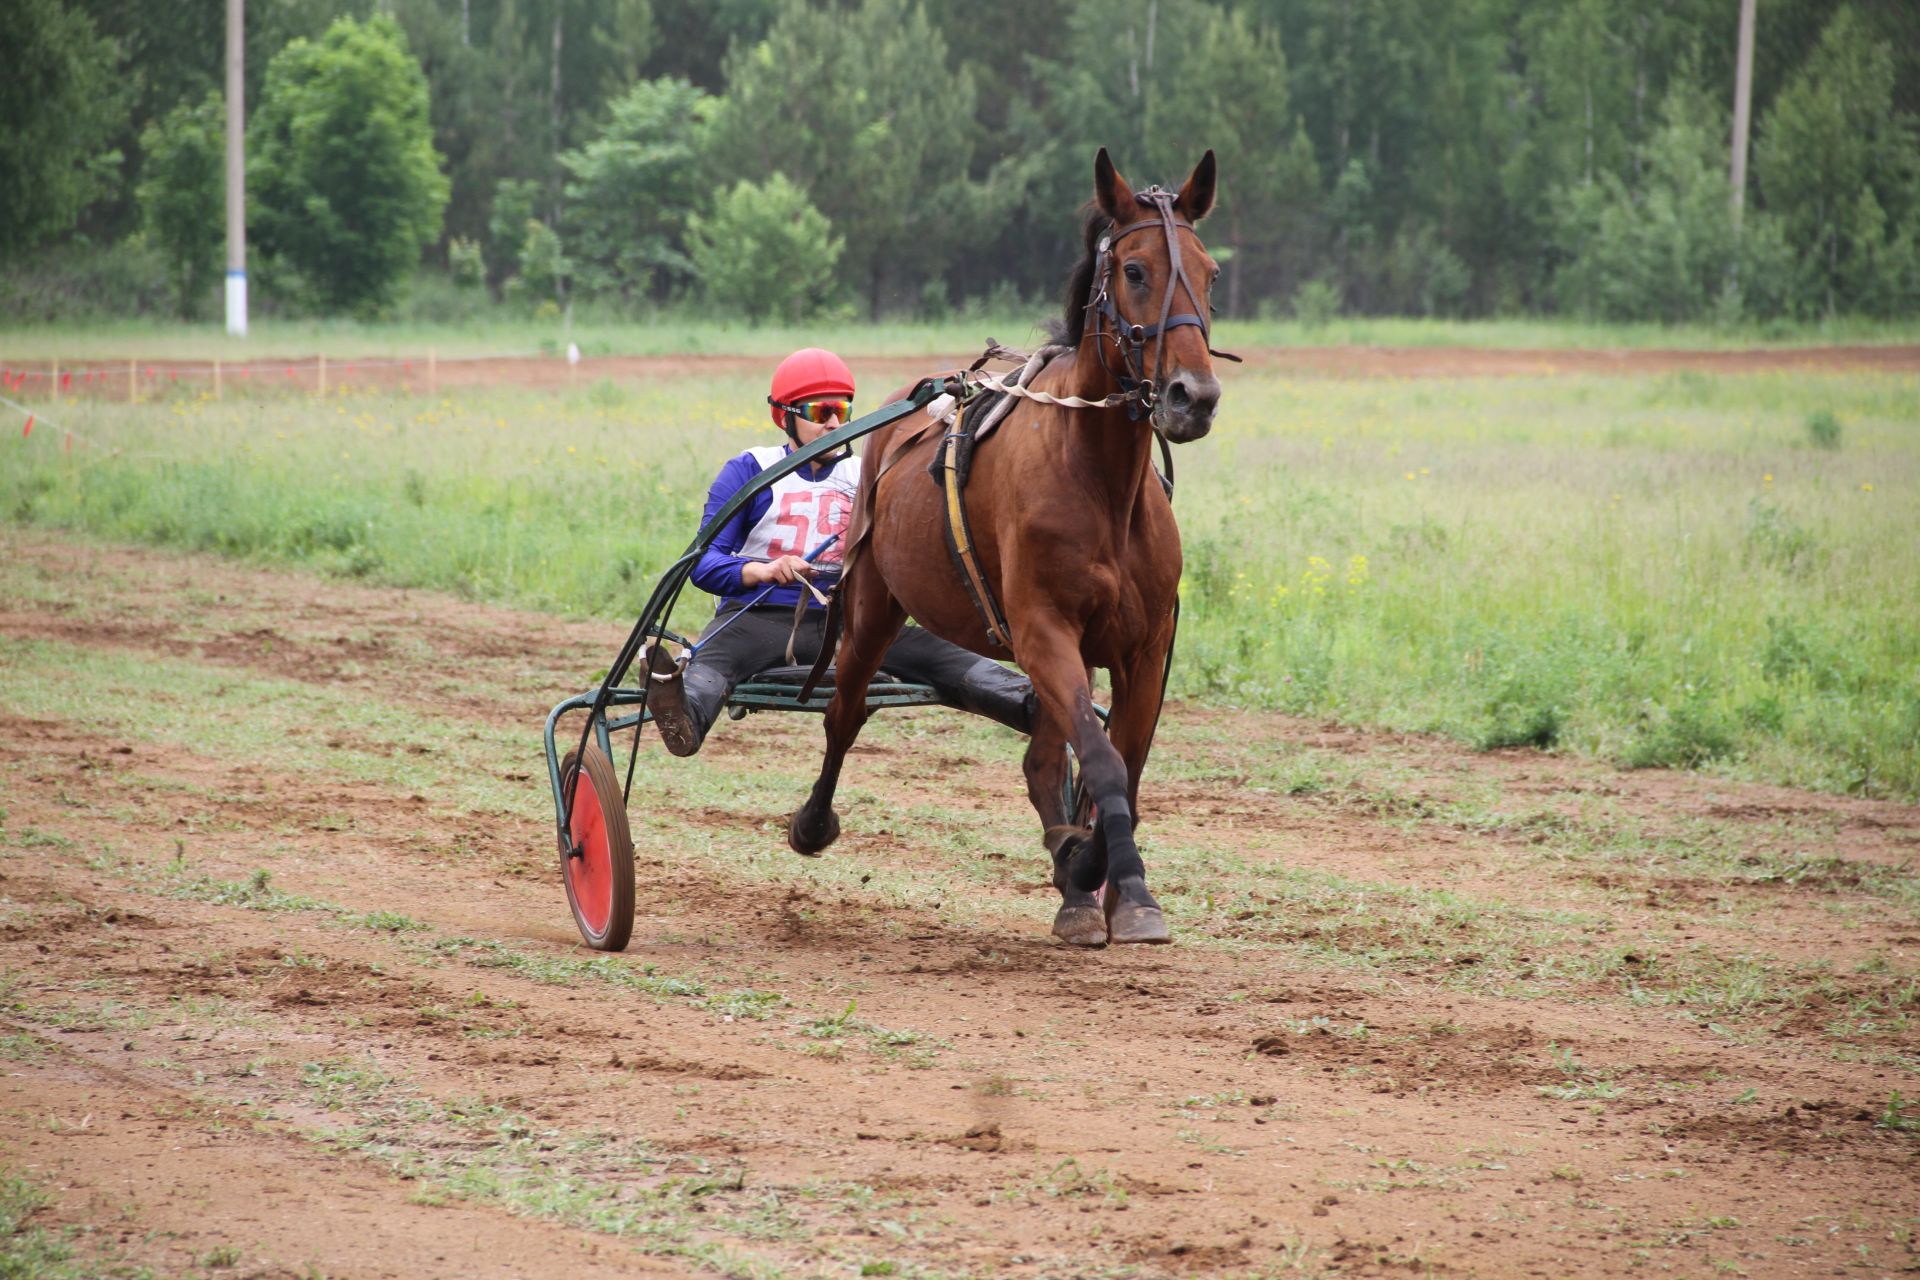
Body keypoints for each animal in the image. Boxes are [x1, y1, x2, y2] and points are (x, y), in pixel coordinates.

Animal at [787, 150, 1221, 948]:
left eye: (1209, 272)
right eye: (1135, 270)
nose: (1193, 397)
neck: (1100, 482)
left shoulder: (1143, 647)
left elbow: (1125, 763)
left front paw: (1115, 886)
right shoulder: (1044, 629)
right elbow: (1104, 761)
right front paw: (1091, 867)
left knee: (1043, 757)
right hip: (873, 607)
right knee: (845, 712)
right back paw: (813, 821)